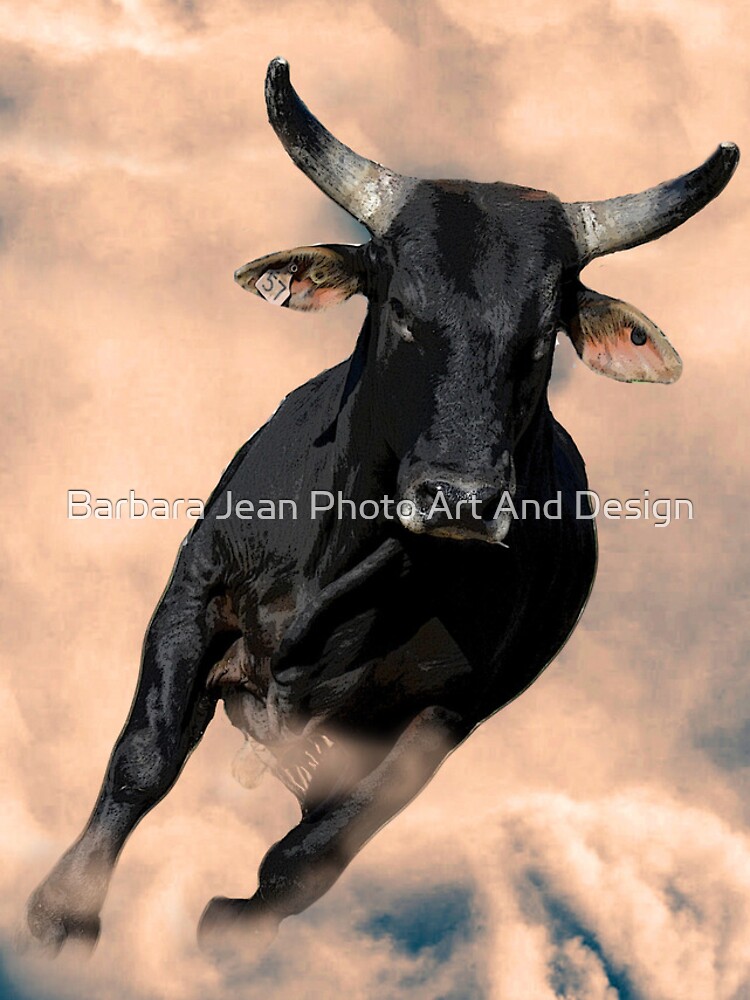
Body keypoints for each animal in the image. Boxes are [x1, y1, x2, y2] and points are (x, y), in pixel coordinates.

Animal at [25, 57, 739, 961]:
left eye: (542, 336)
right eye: (401, 308)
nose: (461, 498)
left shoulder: (446, 715)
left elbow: (316, 849)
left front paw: (234, 928)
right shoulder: (195, 591)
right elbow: (143, 758)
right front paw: (64, 912)